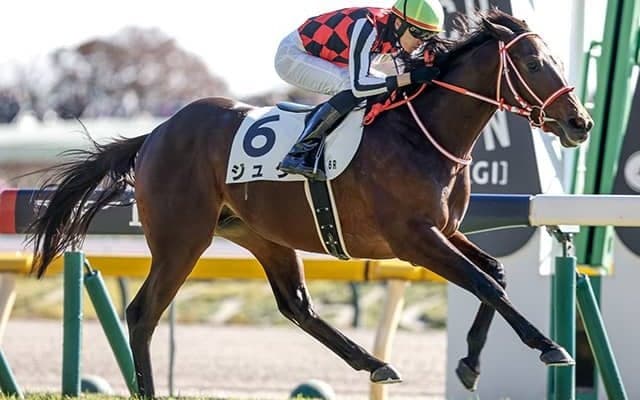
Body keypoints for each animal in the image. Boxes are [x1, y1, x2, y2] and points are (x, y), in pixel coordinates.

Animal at [27, 9, 592, 397]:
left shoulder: (447, 230)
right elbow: (482, 282)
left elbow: (494, 274)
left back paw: (375, 362)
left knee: (295, 305)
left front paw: (471, 364)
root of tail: (154, 134)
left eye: (557, 61)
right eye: (533, 63)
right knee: (143, 312)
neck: (421, 134)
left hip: (260, 234)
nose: (580, 122)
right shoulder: (413, 239)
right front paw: (549, 345)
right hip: (180, 240)